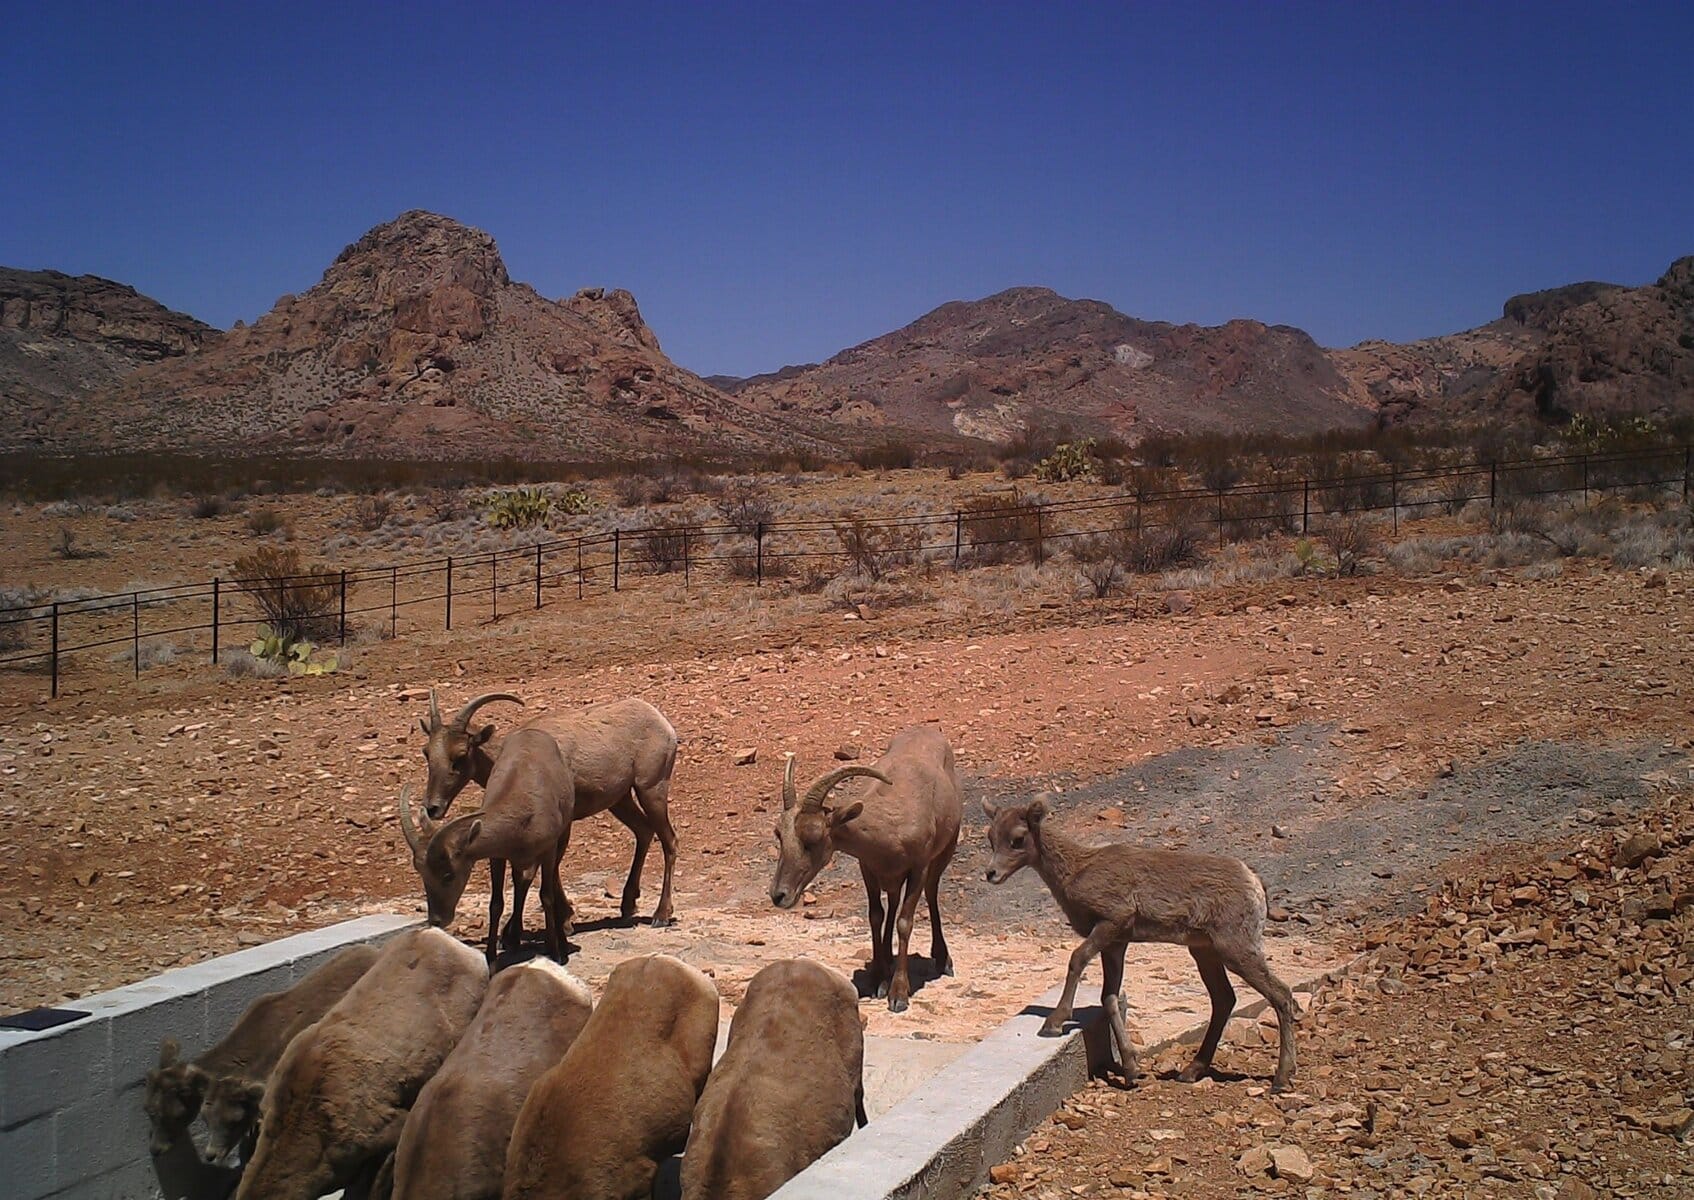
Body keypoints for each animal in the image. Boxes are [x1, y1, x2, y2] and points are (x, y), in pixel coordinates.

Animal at [400, 726, 575, 964]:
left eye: (448, 875)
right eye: (422, 874)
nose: (436, 920)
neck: (523, 814)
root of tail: (533, 731)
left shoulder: (548, 848)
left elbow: (546, 896)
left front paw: (556, 954)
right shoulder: (497, 856)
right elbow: (496, 903)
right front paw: (490, 956)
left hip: (563, 836)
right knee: (521, 881)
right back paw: (513, 939)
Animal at [418, 688, 681, 929]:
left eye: (460, 755)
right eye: (427, 752)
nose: (432, 807)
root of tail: (664, 724)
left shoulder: (562, 824)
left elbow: (552, 866)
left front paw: (563, 921)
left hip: (651, 789)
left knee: (669, 840)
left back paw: (661, 914)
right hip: (621, 800)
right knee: (644, 830)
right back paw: (628, 905)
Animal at [770, 724, 962, 1013]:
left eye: (813, 838)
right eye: (779, 834)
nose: (779, 895)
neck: (890, 824)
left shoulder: (919, 867)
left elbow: (905, 922)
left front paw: (898, 994)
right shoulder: (868, 867)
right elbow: (876, 915)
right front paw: (878, 980)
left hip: (946, 848)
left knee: (931, 892)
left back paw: (942, 959)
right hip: (892, 876)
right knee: (892, 901)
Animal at [983, 794, 1298, 1091]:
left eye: (1018, 839)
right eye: (991, 837)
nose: (991, 874)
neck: (1076, 871)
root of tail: (1255, 883)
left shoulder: (1112, 921)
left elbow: (1077, 960)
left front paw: (1053, 1024)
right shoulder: (1115, 943)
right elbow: (1109, 998)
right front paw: (1131, 1071)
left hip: (1235, 947)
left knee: (1281, 994)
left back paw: (1281, 1079)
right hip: (1204, 951)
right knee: (1224, 999)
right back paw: (1190, 1072)